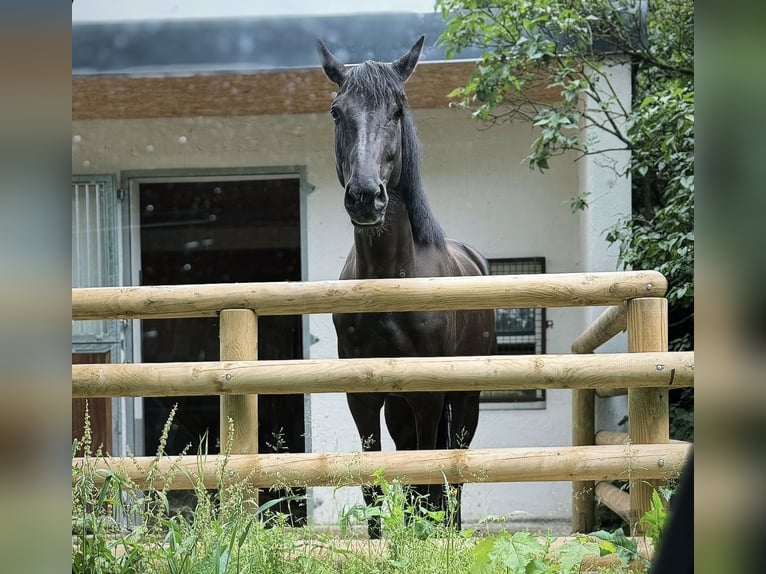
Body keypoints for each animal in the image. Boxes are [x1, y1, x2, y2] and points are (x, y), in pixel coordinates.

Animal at [318, 36, 498, 540]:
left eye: (397, 110)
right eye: (337, 111)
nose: (365, 196)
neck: (390, 282)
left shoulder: (429, 395)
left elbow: (431, 478)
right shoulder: (363, 398)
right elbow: (375, 484)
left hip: (464, 399)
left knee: (453, 469)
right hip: (400, 406)